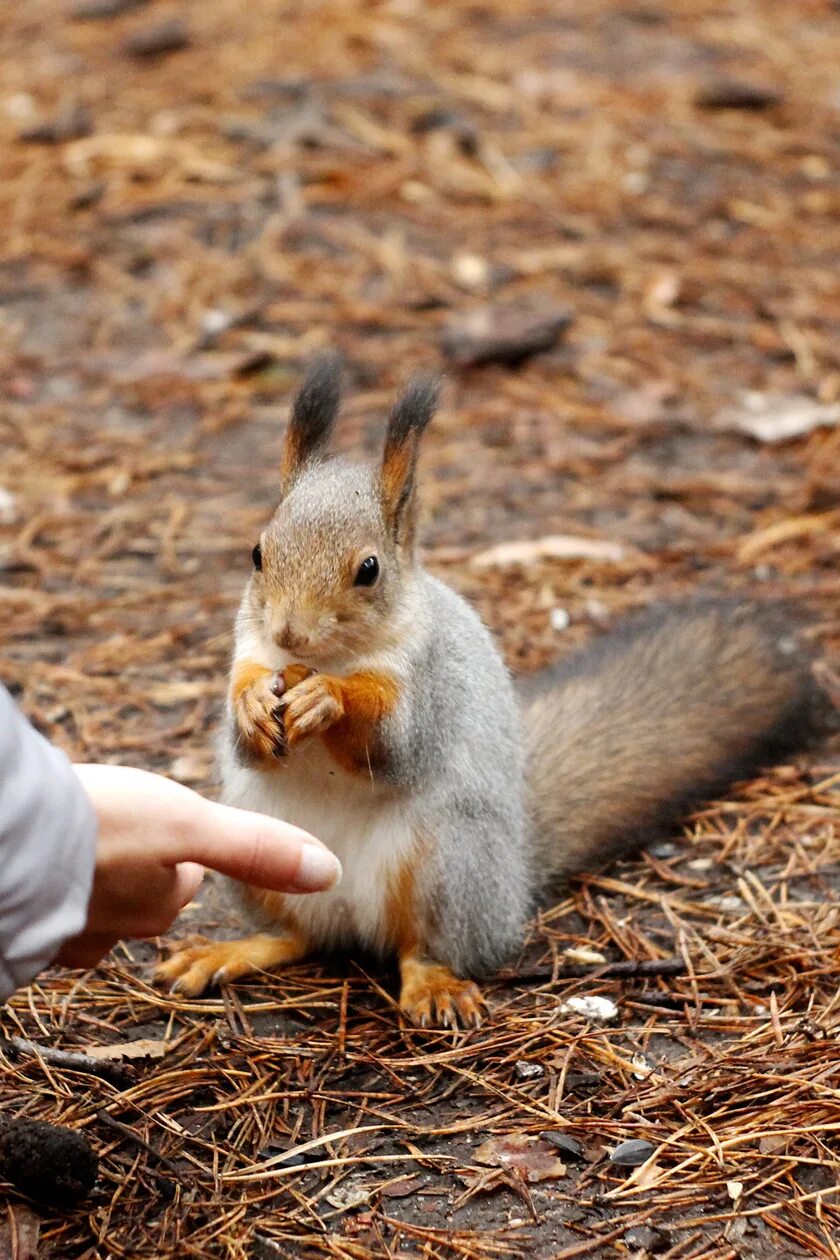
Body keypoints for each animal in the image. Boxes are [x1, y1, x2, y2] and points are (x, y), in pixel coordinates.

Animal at [154, 355, 816, 1023]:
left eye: (368, 570)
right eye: (256, 554)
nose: (289, 631)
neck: (325, 660)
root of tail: (515, 873)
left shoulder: (432, 683)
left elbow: (395, 745)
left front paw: (330, 701)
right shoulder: (251, 652)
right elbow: (246, 736)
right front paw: (251, 707)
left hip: (448, 863)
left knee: (420, 946)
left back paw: (433, 984)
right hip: (263, 851)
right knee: (297, 937)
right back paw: (230, 951)